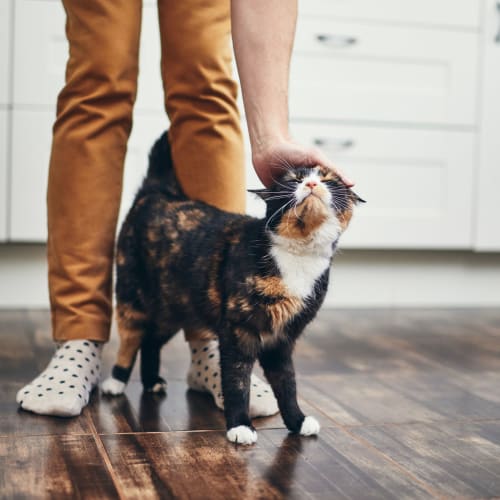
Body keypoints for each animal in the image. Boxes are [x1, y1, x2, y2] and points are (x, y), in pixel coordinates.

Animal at [101, 131, 364, 444]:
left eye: (328, 179)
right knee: (131, 339)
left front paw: (297, 421)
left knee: (151, 340)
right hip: (132, 296)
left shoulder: (283, 338)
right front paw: (239, 425)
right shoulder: (239, 330)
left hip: (174, 308)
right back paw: (116, 381)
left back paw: (152, 381)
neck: (298, 256)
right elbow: (237, 381)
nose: (311, 184)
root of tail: (158, 193)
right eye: (293, 179)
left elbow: (287, 384)